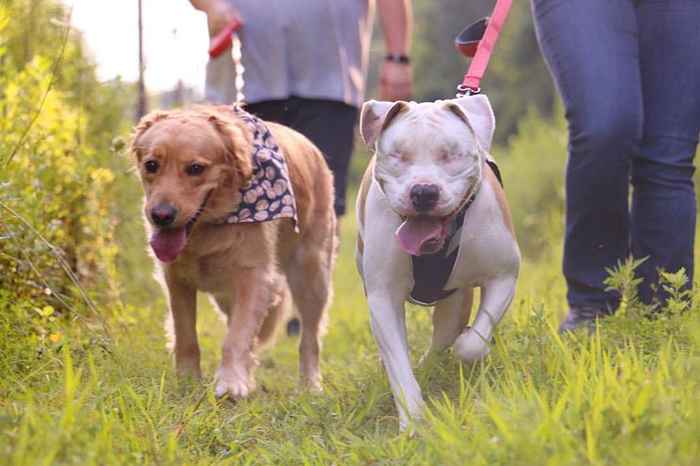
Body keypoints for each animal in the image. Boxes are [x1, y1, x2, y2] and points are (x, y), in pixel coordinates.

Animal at [132, 105, 340, 396]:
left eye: (195, 168)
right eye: (151, 165)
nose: (161, 216)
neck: (208, 227)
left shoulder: (255, 277)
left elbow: (236, 338)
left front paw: (231, 383)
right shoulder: (175, 280)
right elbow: (186, 337)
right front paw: (188, 381)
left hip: (312, 274)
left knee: (310, 339)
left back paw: (310, 384)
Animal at [356, 94, 520, 430]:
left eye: (451, 155)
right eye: (398, 155)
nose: (423, 191)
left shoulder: (504, 275)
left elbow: (472, 342)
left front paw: (467, 346)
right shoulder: (382, 298)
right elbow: (398, 362)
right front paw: (413, 421)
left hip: (455, 301)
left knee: (445, 335)